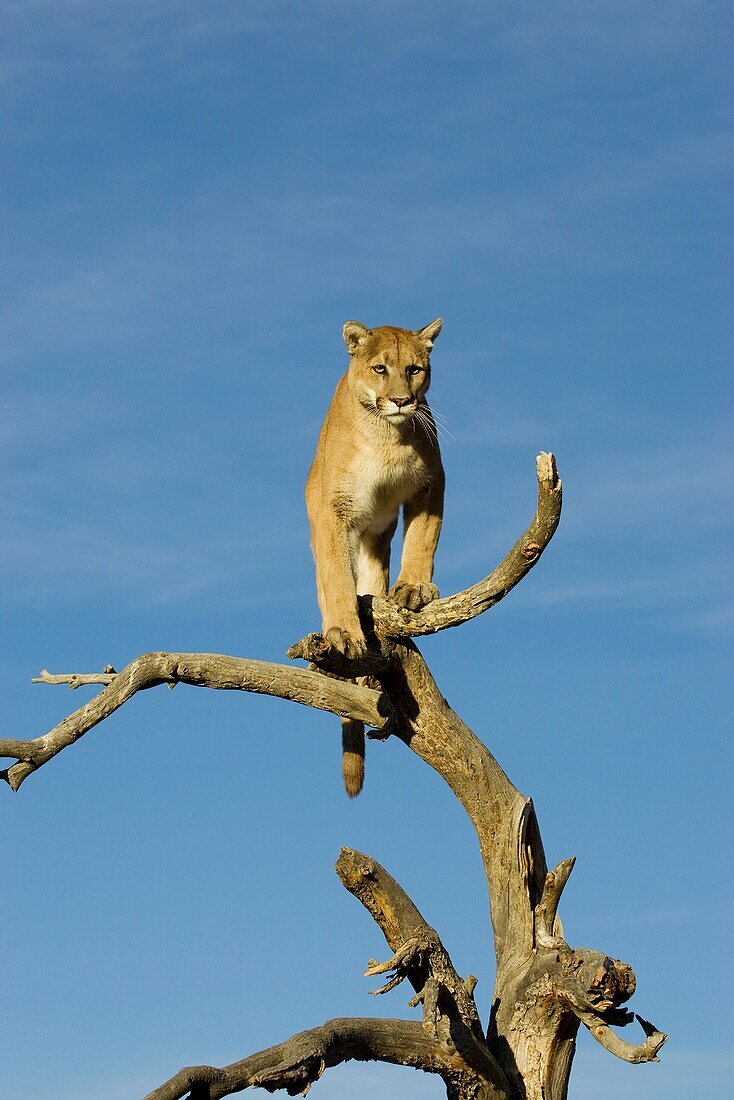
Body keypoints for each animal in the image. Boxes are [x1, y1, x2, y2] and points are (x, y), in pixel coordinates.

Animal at [305, 321, 444, 796]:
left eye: (415, 369)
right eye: (380, 368)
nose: (401, 400)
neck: (387, 436)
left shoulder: (429, 483)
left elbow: (422, 540)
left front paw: (413, 589)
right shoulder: (332, 508)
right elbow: (336, 576)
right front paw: (345, 633)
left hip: (375, 538)